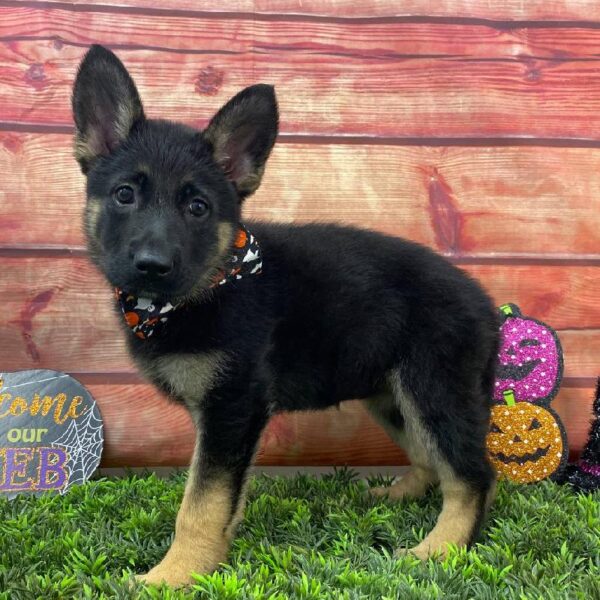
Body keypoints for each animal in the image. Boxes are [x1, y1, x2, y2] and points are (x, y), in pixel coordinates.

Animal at [72, 45, 500, 584]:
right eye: (125, 194)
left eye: (197, 207)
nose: (152, 265)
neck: (211, 284)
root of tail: (485, 303)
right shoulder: (225, 421)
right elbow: (219, 501)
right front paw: (203, 563)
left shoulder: (232, 409)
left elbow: (200, 505)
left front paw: (174, 576)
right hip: (391, 395)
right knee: (430, 458)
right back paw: (399, 497)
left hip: (433, 388)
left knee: (471, 475)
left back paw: (440, 549)